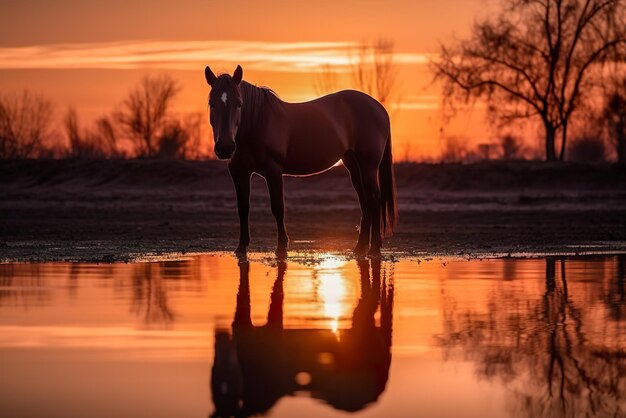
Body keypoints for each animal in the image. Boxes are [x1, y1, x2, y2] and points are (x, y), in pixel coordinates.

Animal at [205, 64, 394, 258]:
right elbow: (243, 208)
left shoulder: (273, 170)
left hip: (369, 166)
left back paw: (374, 248)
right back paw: (360, 248)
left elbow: (278, 207)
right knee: (365, 201)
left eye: (239, 103)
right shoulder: (239, 172)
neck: (258, 123)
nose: (225, 147)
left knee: (374, 199)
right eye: (211, 103)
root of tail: (379, 108)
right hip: (354, 165)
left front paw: (281, 247)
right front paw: (241, 248)